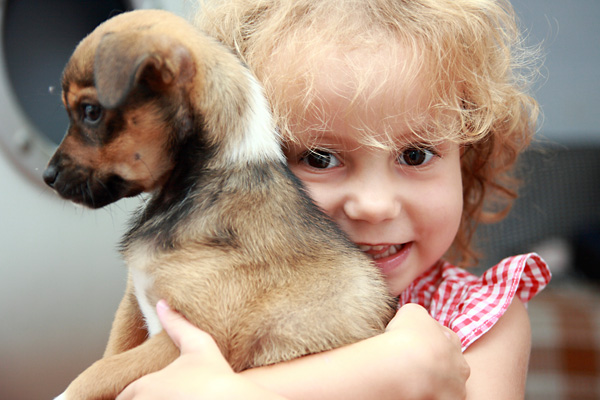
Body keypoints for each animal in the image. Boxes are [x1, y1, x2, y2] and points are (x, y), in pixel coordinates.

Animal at [44, 9, 396, 400]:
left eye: (90, 111)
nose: (47, 177)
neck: (202, 184)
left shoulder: (190, 338)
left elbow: (100, 371)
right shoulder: (134, 307)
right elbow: (110, 355)